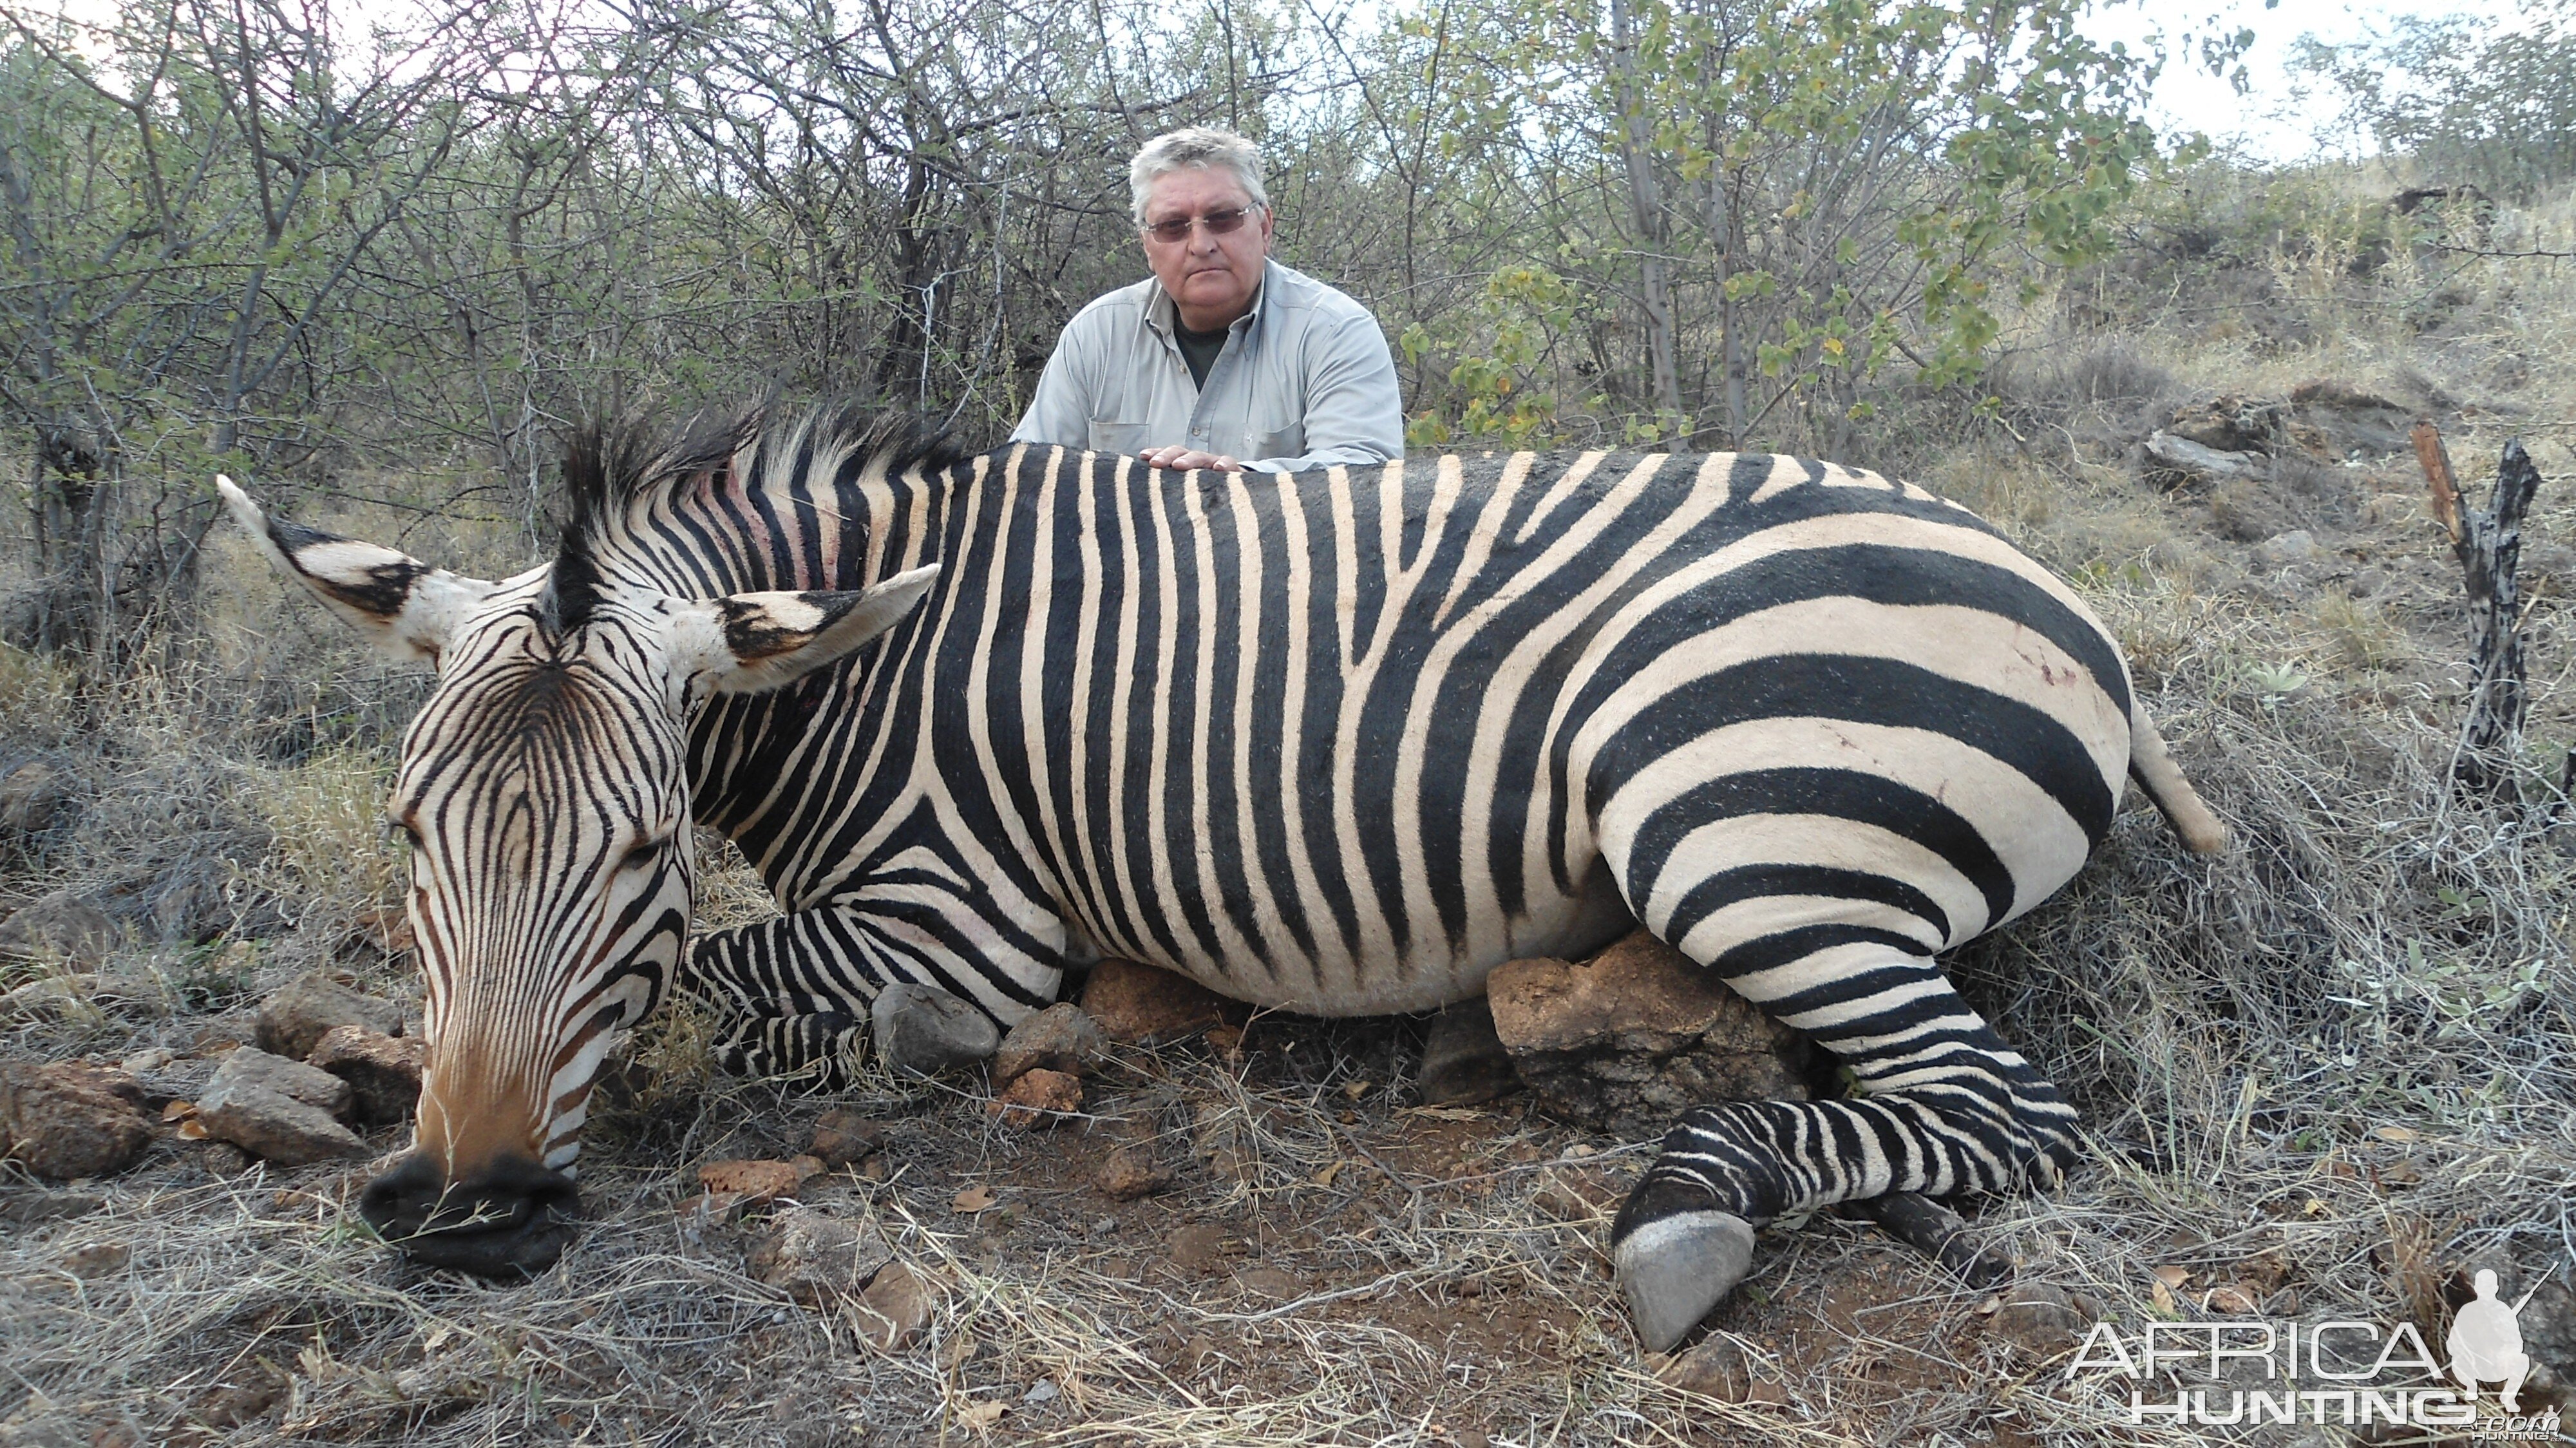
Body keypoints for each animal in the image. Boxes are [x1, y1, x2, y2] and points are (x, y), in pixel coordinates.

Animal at [222, 402, 2226, 1340]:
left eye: (641, 849)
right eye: (409, 834)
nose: (470, 1212)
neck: (856, 667)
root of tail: (2072, 611)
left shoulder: (964, 916)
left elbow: (727, 983)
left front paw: (871, 1051)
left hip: (1731, 836)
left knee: (2003, 1108)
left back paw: (1690, 1204)